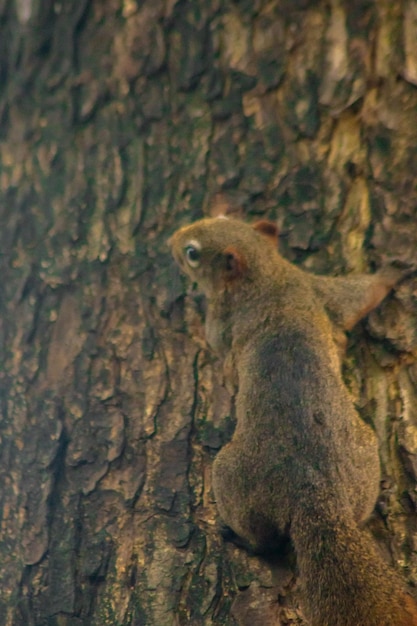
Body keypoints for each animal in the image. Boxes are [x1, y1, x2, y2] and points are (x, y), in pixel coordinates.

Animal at [168, 216, 416, 624]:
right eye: (222, 219)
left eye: (192, 253)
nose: (171, 241)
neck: (267, 274)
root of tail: (315, 494)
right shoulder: (317, 288)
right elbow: (359, 296)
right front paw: (390, 274)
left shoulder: (225, 317)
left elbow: (215, 341)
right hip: (364, 458)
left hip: (234, 479)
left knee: (264, 542)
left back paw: (239, 538)